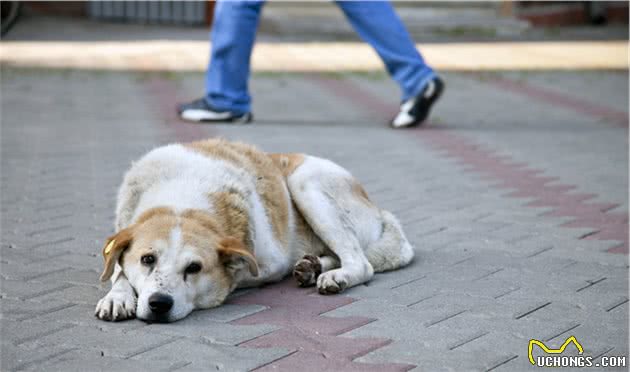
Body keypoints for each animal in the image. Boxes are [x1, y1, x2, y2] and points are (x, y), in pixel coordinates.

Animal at [95, 138, 414, 322]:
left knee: (361, 261)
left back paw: (336, 275)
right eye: (147, 259)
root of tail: (378, 209)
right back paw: (312, 267)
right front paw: (117, 296)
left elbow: (237, 275)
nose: (159, 304)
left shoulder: (270, 264)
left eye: (194, 268)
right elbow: (119, 270)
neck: (183, 198)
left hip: (306, 181)